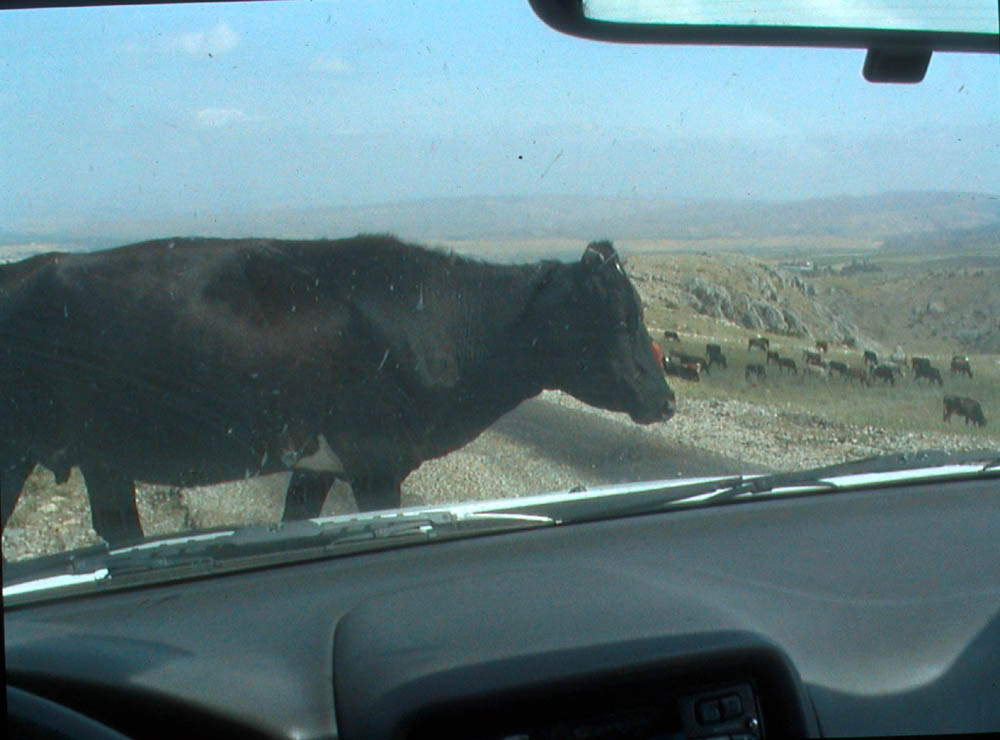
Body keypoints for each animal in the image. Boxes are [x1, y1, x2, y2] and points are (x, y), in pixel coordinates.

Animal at [1, 236, 676, 547]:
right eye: (621, 319)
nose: (666, 399)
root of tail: (27, 266)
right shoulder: (377, 457)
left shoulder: (317, 462)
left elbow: (297, 516)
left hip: (101, 454)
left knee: (116, 524)